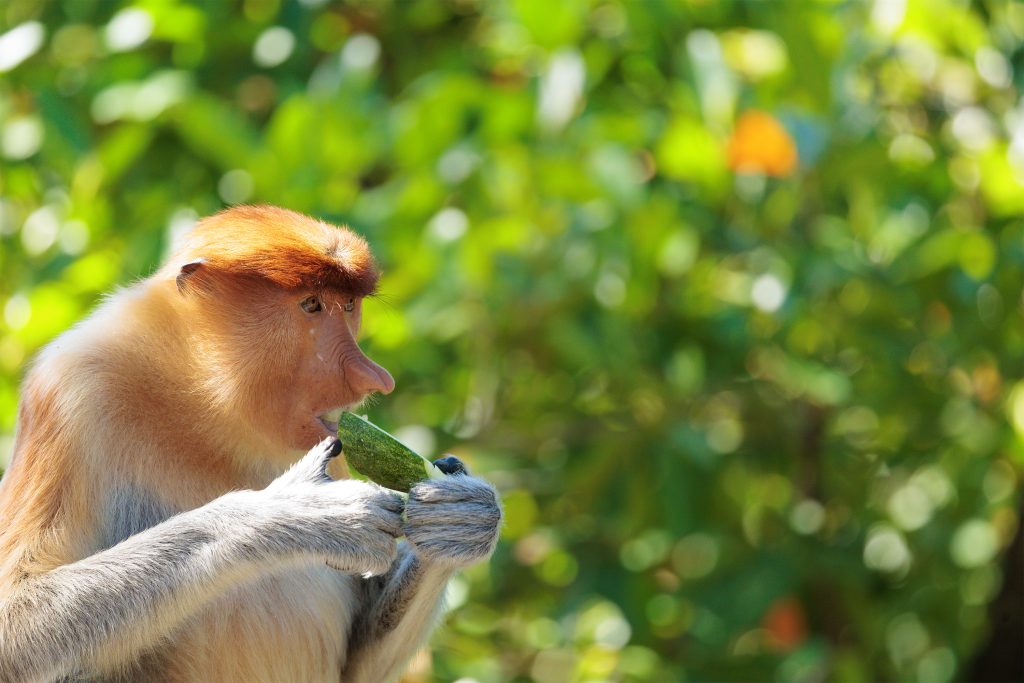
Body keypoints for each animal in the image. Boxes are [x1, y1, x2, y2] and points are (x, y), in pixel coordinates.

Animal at [0, 205, 502, 682]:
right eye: (311, 305)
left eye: (349, 305)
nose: (374, 377)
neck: (204, 406)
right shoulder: (71, 392)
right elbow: (15, 617)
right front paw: (298, 515)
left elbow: (359, 664)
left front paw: (463, 517)